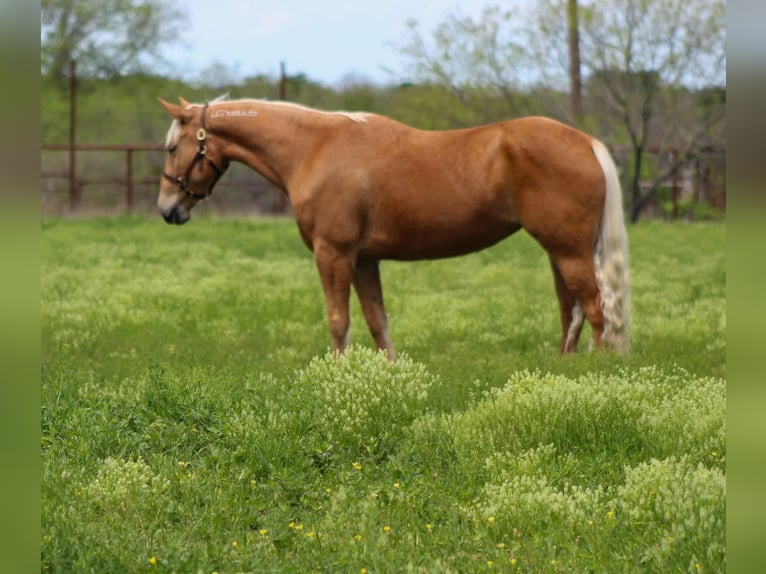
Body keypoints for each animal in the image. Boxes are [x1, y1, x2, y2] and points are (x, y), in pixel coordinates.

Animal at [158, 98, 632, 360]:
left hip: (569, 252)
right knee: (571, 311)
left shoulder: (334, 253)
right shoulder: (365, 261)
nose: (167, 210)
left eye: (171, 147)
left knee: (595, 309)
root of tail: (585, 142)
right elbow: (377, 323)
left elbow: (339, 320)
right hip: (559, 252)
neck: (313, 148)